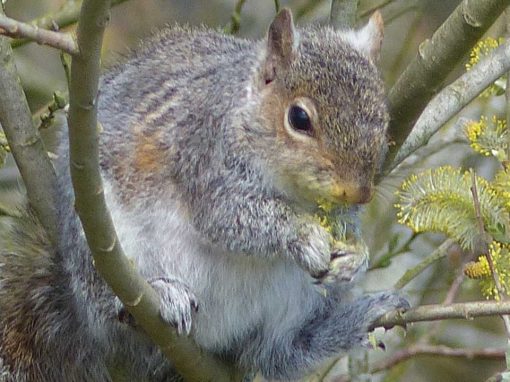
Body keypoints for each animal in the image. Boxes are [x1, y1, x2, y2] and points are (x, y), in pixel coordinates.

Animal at [0, 6, 406, 382]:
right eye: (299, 119)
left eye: (384, 120)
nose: (359, 193)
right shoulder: (202, 157)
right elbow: (229, 218)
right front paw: (304, 236)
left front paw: (356, 257)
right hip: (100, 241)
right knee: (108, 305)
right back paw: (161, 293)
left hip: (304, 299)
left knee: (275, 354)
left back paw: (349, 323)